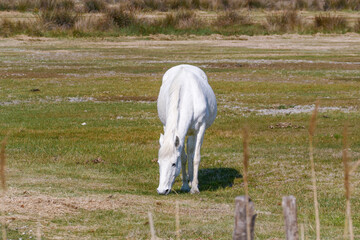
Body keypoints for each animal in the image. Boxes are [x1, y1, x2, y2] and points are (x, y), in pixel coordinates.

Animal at [157, 64, 217, 195]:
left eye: (174, 164)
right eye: (159, 163)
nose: (162, 190)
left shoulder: (200, 129)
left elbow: (196, 157)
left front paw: (194, 188)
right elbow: (183, 157)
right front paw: (184, 185)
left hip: (193, 132)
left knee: (191, 151)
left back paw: (192, 180)